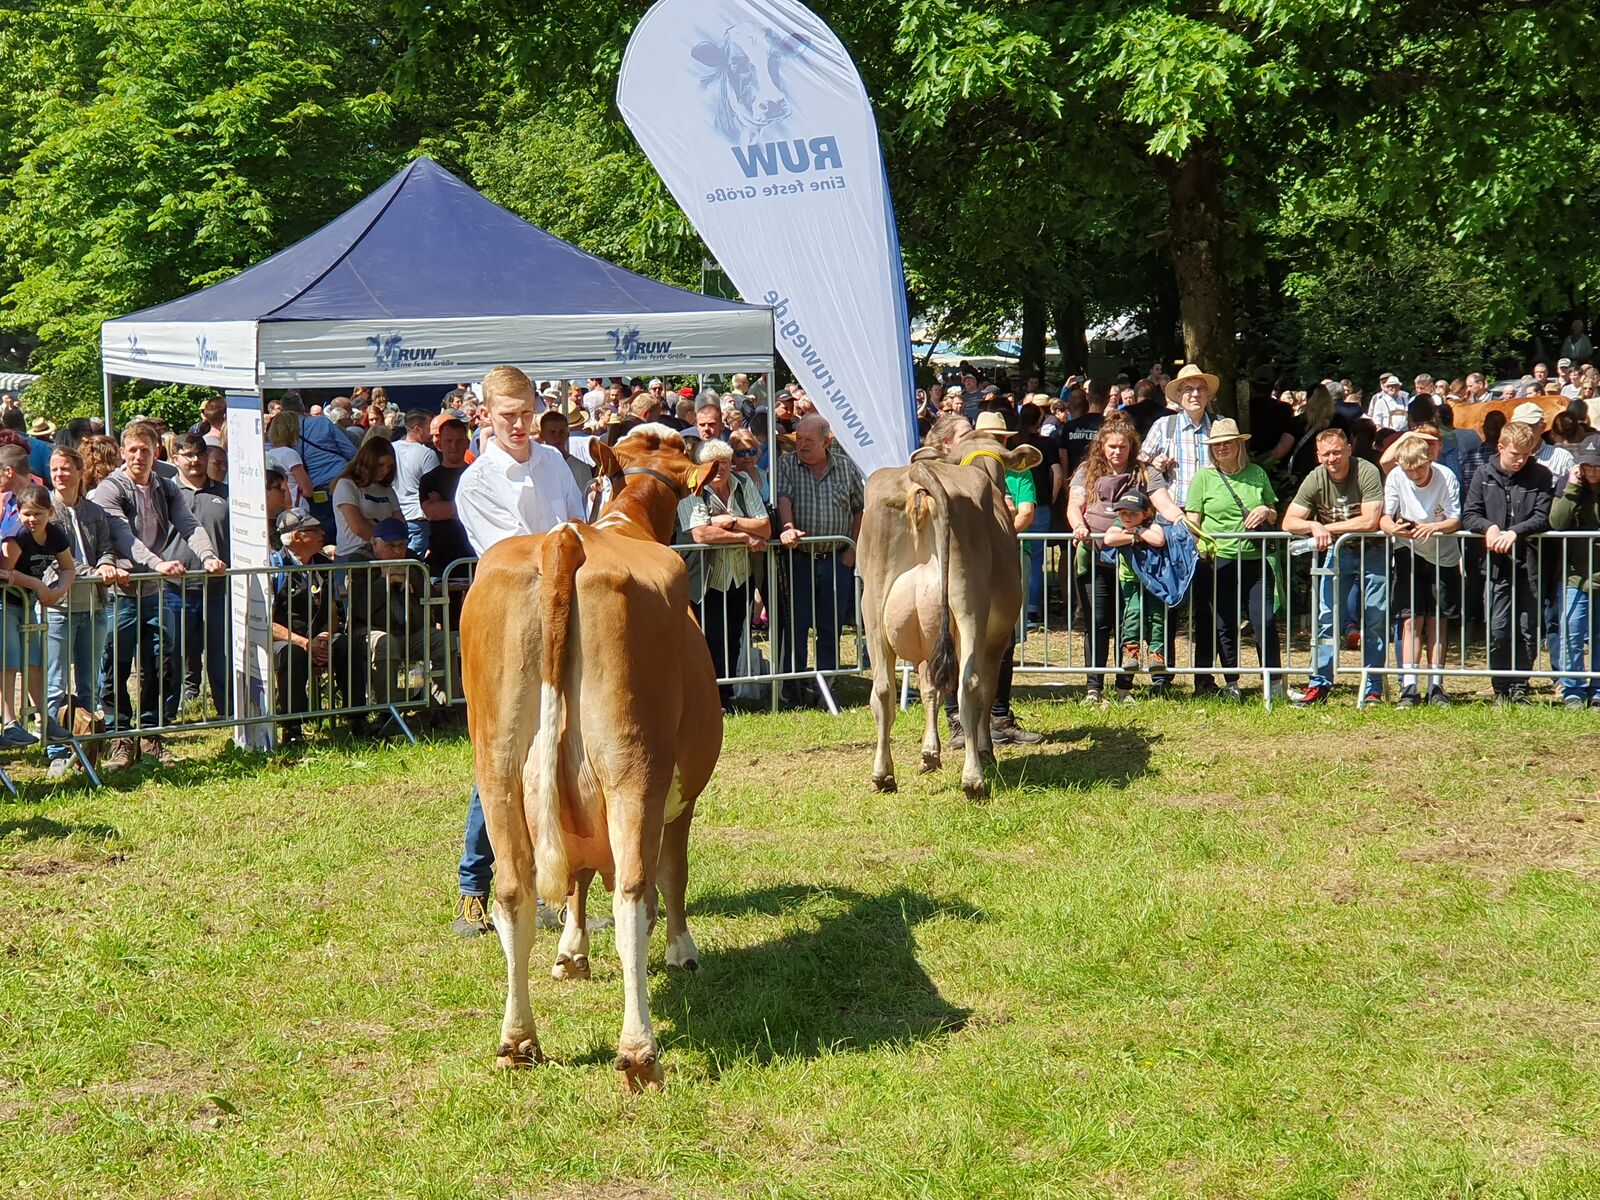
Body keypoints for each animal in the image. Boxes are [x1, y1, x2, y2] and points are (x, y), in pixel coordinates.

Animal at [460, 428, 716, 1094]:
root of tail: (565, 539)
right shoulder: (683, 794)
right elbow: (674, 872)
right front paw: (682, 950)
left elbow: (572, 876)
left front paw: (571, 954)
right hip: (633, 767)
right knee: (632, 890)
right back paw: (639, 1050)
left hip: (498, 768)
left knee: (515, 892)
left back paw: (518, 1041)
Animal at [857, 432, 1043, 800]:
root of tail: (918, 475)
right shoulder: (997, 639)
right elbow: (985, 689)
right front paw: (985, 750)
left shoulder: (927, 642)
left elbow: (930, 688)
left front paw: (929, 754)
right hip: (968, 603)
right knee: (969, 686)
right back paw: (974, 779)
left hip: (872, 605)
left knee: (882, 689)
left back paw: (883, 775)